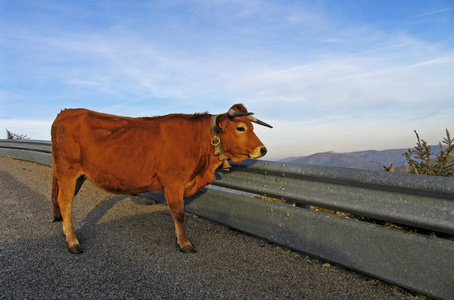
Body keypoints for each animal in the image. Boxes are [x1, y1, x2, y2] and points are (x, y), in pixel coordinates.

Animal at [51, 104, 272, 254]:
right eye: (241, 128)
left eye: (252, 127)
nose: (263, 149)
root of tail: (66, 111)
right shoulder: (173, 182)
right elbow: (179, 213)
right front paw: (185, 243)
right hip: (68, 171)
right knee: (65, 202)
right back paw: (73, 242)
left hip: (76, 176)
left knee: (62, 202)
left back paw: (65, 233)